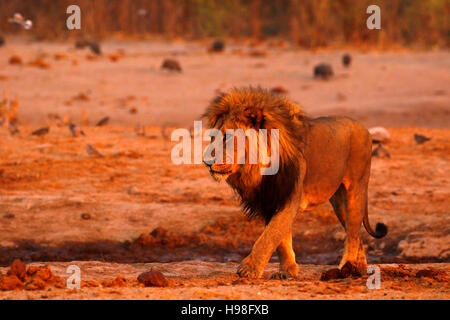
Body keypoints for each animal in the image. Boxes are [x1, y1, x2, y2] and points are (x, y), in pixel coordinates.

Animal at [201, 86, 386, 278]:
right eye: (213, 137)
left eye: (227, 137)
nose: (205, 161)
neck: (256, 169)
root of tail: (365, 129)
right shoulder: (271, 199)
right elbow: (280, 239)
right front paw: (287, 271)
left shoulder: (290, 196)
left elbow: (270, 235)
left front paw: (249, 269)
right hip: (339, 202)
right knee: (354, 233)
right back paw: (359, 267)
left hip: (356, 189)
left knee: (353, 232)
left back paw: (347, 267)